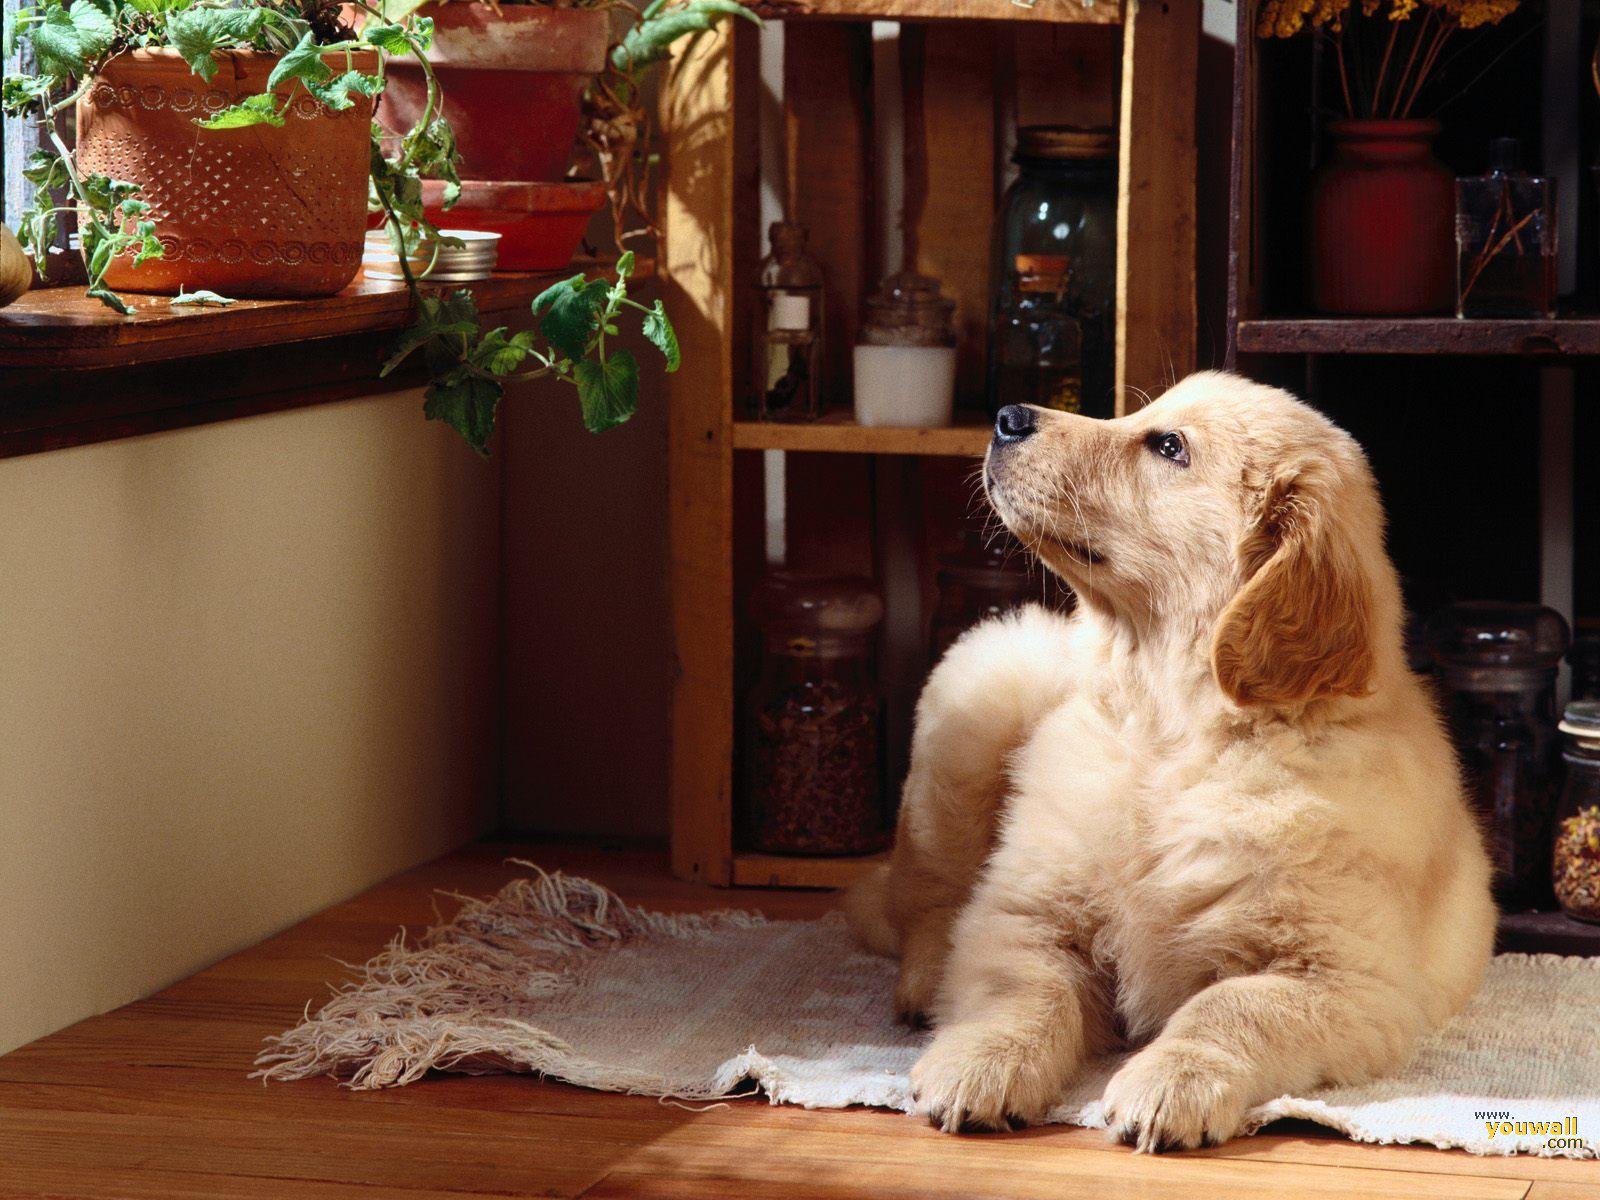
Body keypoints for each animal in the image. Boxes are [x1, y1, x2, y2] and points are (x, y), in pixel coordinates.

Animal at [851, 371, 1497, 1152]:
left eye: (1169, 446)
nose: (1006, 417)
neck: (1169, 738)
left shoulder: (1348, 980)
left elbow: (1231, 1007)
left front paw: (1172, 1083)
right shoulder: (1026, 912)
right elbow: (1022, 991)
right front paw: (982, 1061)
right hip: (977, 704)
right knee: (920, 895)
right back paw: (924, 984)